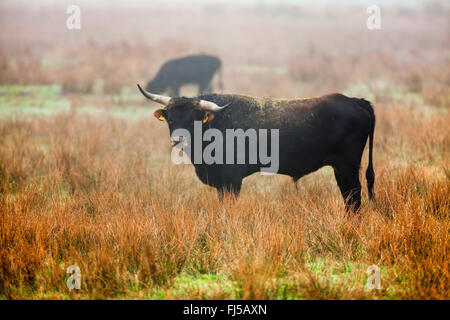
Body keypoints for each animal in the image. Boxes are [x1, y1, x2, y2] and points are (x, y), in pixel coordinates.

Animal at [138, 84, 376, 212]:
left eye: (193, 119)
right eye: (171, 119)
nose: (178, 139)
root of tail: (355, 100)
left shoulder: (232, 180)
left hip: (347, 167)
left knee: (353, 197)